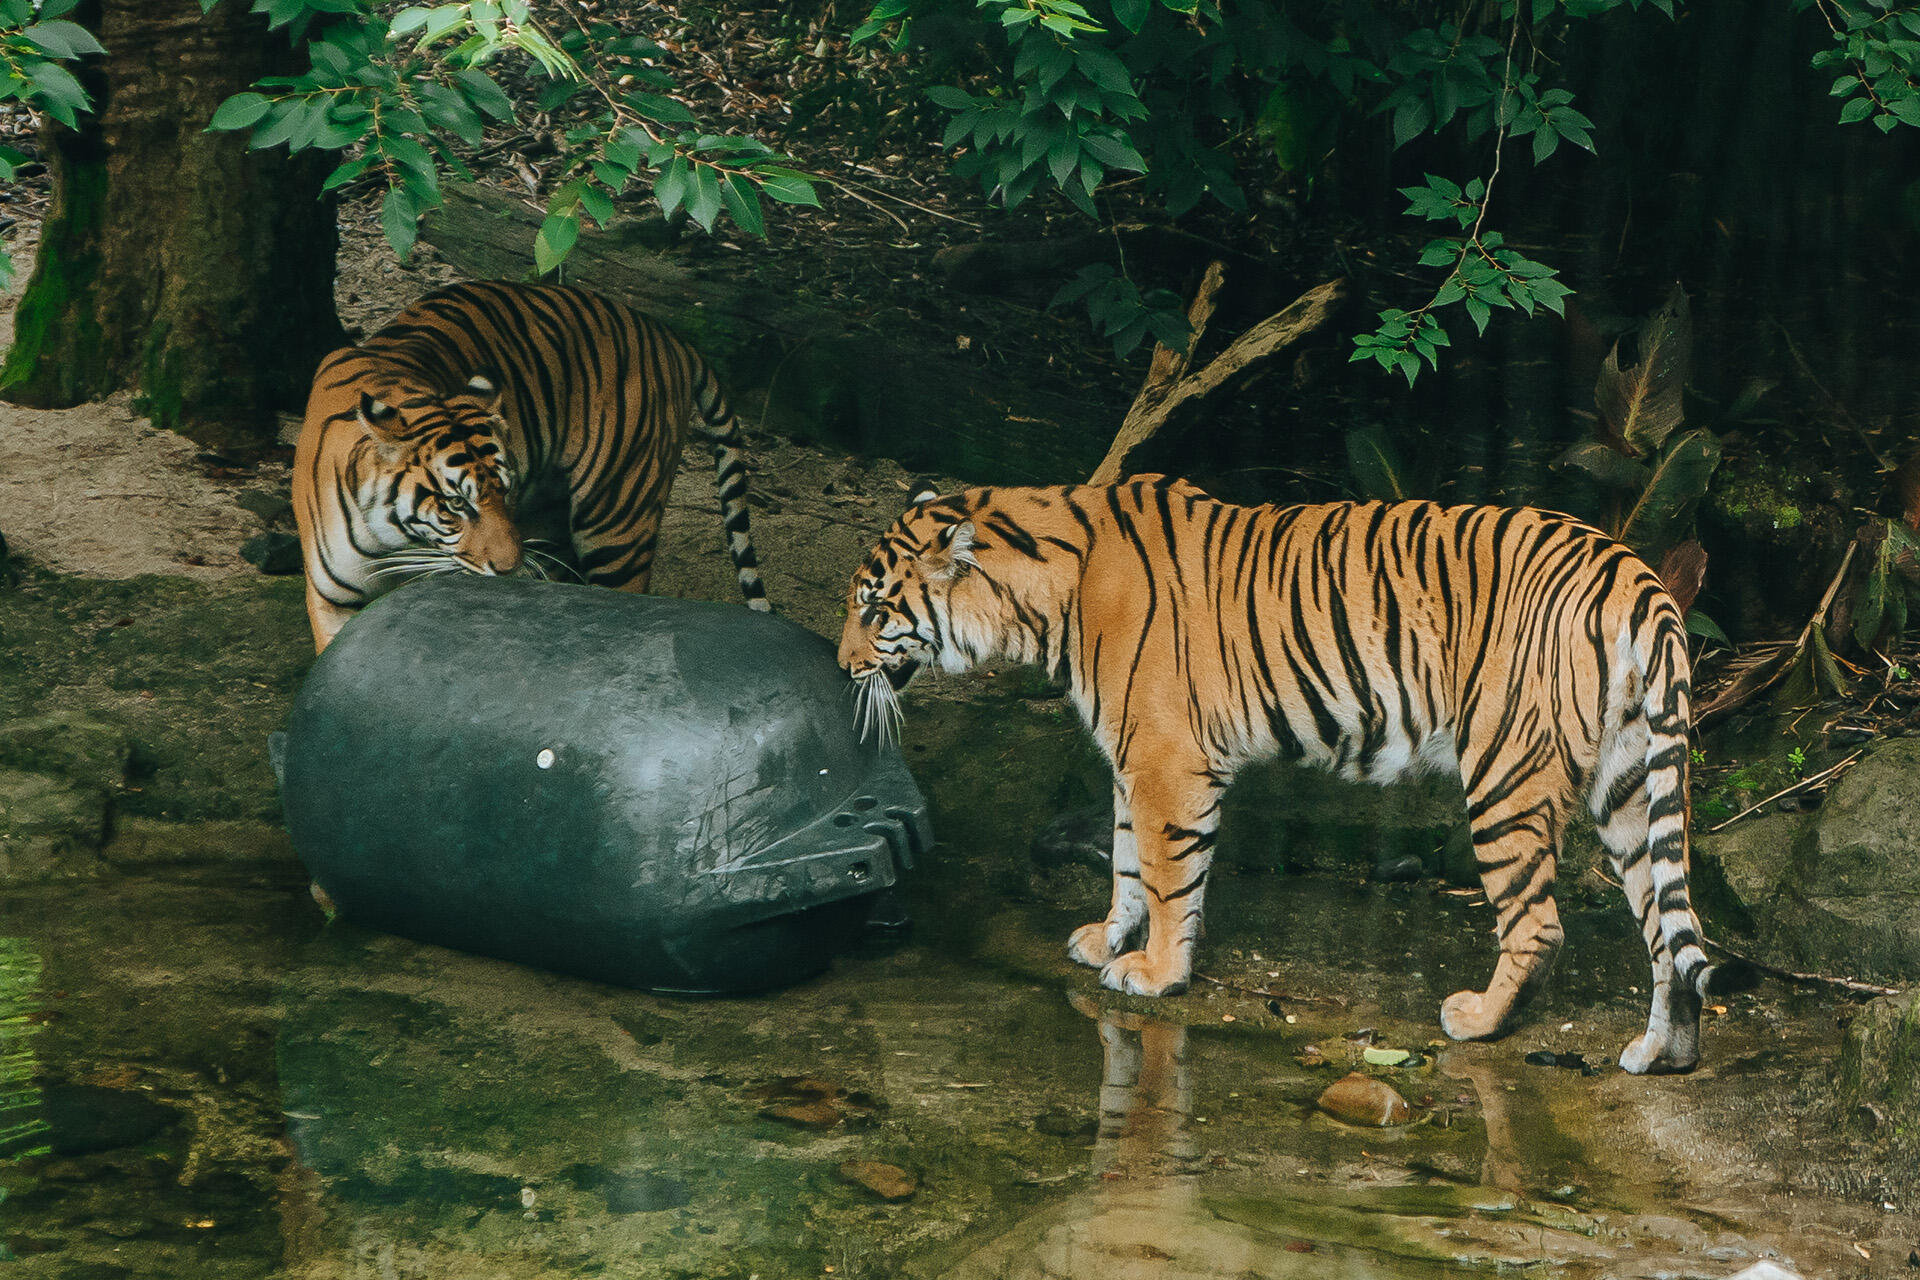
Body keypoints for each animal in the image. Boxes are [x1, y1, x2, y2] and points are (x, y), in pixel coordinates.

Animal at [292, 280, 769, 651]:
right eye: (455, 504)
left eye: (504, 491)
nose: (507, 571)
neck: (390, 543)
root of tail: (668, 335)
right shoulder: (332, 601)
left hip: (617, 520)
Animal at [838, 476, 1724, 1074]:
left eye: (877, 610)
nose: (843, 665)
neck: (1043, 599)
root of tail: (1633, 571)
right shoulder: (1132, 755)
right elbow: (1126, 861)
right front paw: (1107, 939)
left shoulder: (1166, 759)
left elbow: (1165, 873)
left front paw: (1155, 974)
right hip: (1626, 782)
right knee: (1667, 928)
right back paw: (1665, 1051)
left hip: (1505, 770)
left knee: (1538, 925)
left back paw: (1476, 1019)